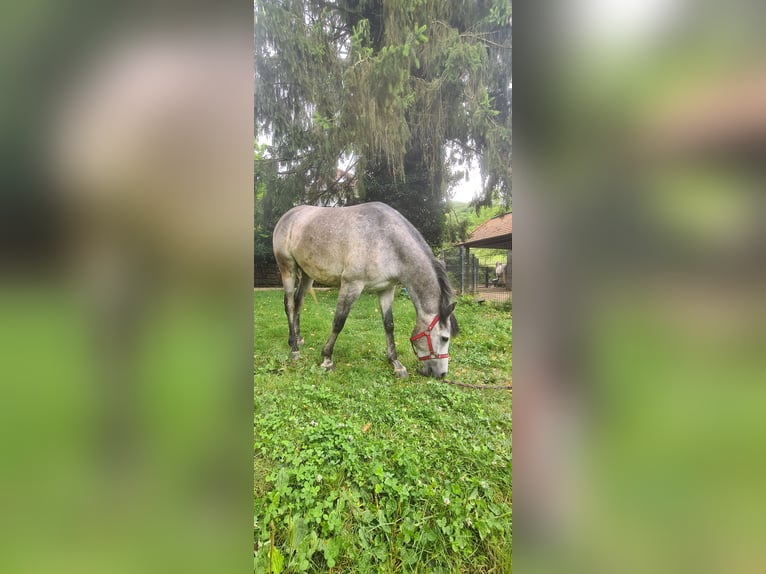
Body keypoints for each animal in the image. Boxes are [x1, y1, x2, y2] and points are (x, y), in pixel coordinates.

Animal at [272, 200, 460, 380]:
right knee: (289, 305)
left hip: (306, 274)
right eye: (445, 338)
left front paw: (396, 364)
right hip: (287, 269)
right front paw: (327, 359)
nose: (442, 374)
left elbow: (389, 324)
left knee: (298, 303)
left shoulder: (386, 289)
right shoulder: (351, 285)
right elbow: (338, 322)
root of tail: (288, 216)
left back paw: (297, 339)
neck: (387, 241)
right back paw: (294, 349)